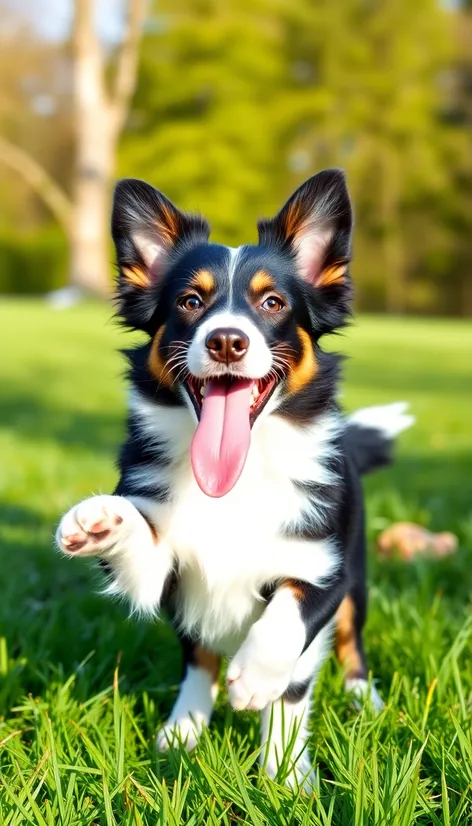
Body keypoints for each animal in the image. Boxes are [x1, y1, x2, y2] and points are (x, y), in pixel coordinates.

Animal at [56, 167, 412, 784]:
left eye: (272, 301)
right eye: (190, 301)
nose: (226, 340)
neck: (237, 477)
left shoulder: (324, 568)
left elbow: (288, 640)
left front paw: (283, 768)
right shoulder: (166, 575)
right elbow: (144, 549)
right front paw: (100, 520)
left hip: (360, 580)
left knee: (351, 643)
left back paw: (362, 698)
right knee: (197, 658)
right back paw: (184, 729)